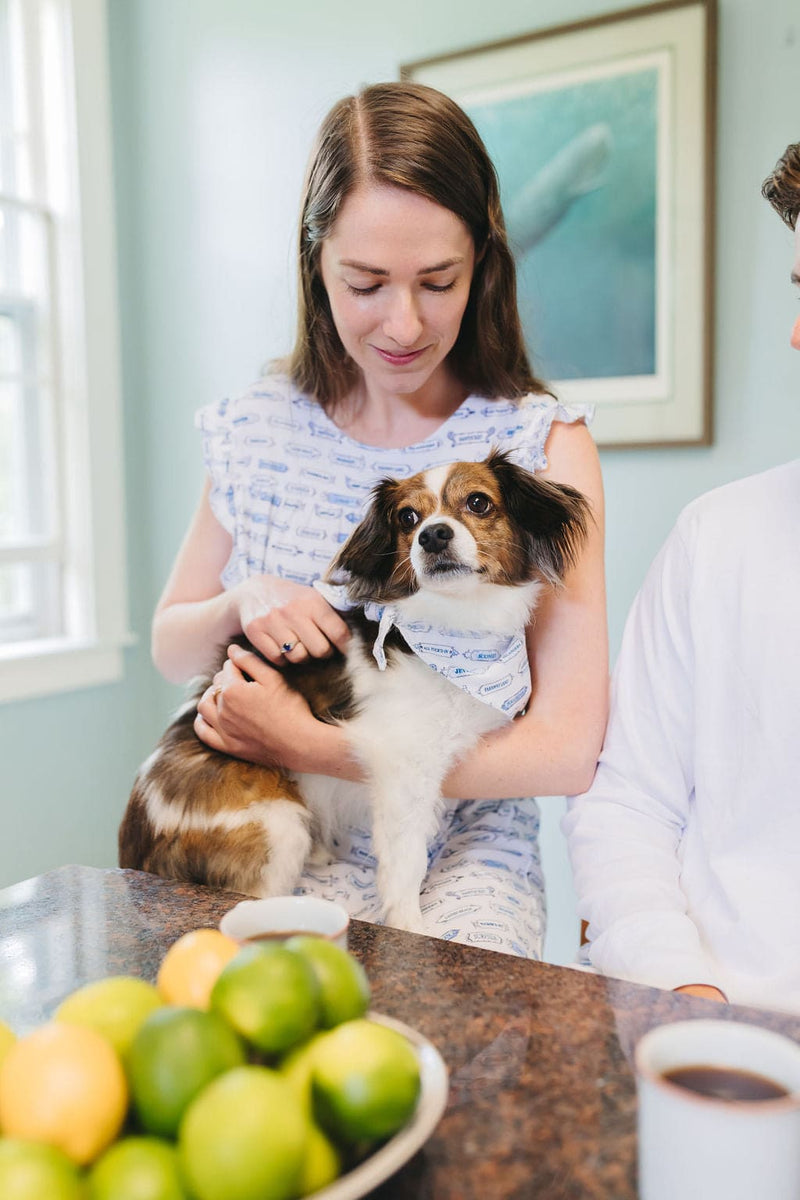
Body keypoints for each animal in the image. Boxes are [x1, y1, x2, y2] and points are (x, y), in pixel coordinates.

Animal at [122, 451, 592, 926]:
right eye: (408, 517)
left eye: (479, 503)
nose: (432, 535)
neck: (455, 631)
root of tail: (138, 834)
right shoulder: (404, 768)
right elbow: (405, 863)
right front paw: (409, 926)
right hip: (274, 825)